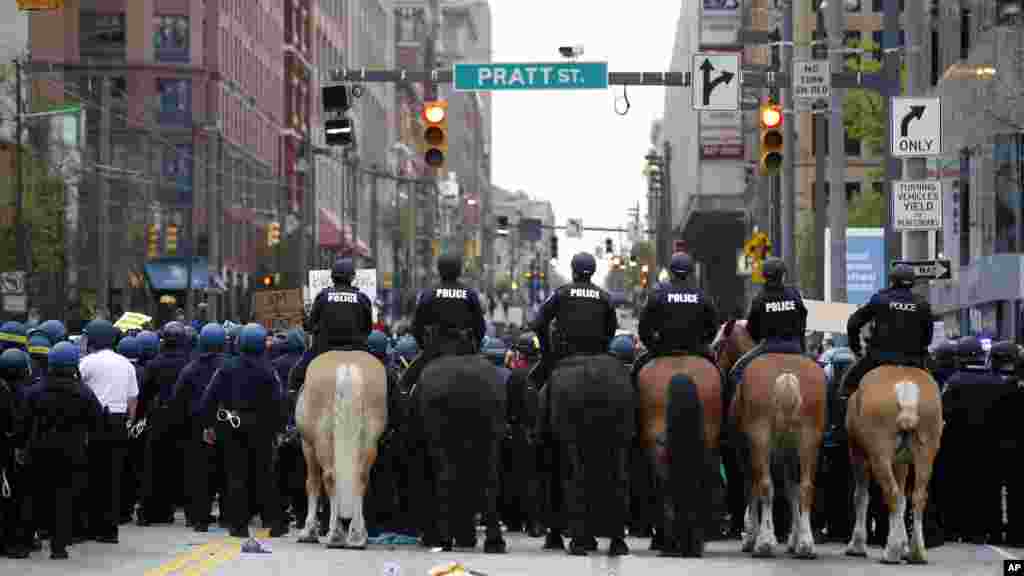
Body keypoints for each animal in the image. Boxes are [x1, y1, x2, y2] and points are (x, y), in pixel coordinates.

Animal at [299, 348, 389, 545]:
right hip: (369, 440)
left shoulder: (307, 445)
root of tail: (348, 368)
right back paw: (357, 535)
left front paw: (309, 531)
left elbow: (312, 483)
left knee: (330, 476)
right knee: (361, 476)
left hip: (323, 439)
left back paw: (335, 534)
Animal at [716, 317, 827, 557]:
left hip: (760, 438)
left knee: (765, 486)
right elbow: (792, 489)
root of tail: (786, 375)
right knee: (806, 487)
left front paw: (752, 535)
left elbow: (752, 489)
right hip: (809, 439)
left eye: (718, 344)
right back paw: (806, 544)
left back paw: (764, 543)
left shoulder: (744, 452)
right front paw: (796, 539)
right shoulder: (787, 454)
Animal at [839, 362, 942, 561]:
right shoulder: (901, 462)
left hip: (879, 454)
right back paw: (916, 553)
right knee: (917, 496)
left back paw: (891, 553)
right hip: (926, 453)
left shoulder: (857, 453)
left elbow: (861, 496)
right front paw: (903, 546)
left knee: (891, 493)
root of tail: (905, 386)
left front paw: (857, 546)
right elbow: (903, 500)